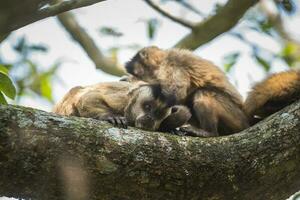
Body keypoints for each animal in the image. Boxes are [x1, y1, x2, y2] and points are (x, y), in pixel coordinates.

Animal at [52, 81, 191, 133]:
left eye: (158, 114)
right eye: (147, 107)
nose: (150, 118)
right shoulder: (122, 99)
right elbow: (87, 97)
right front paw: (110, 116)